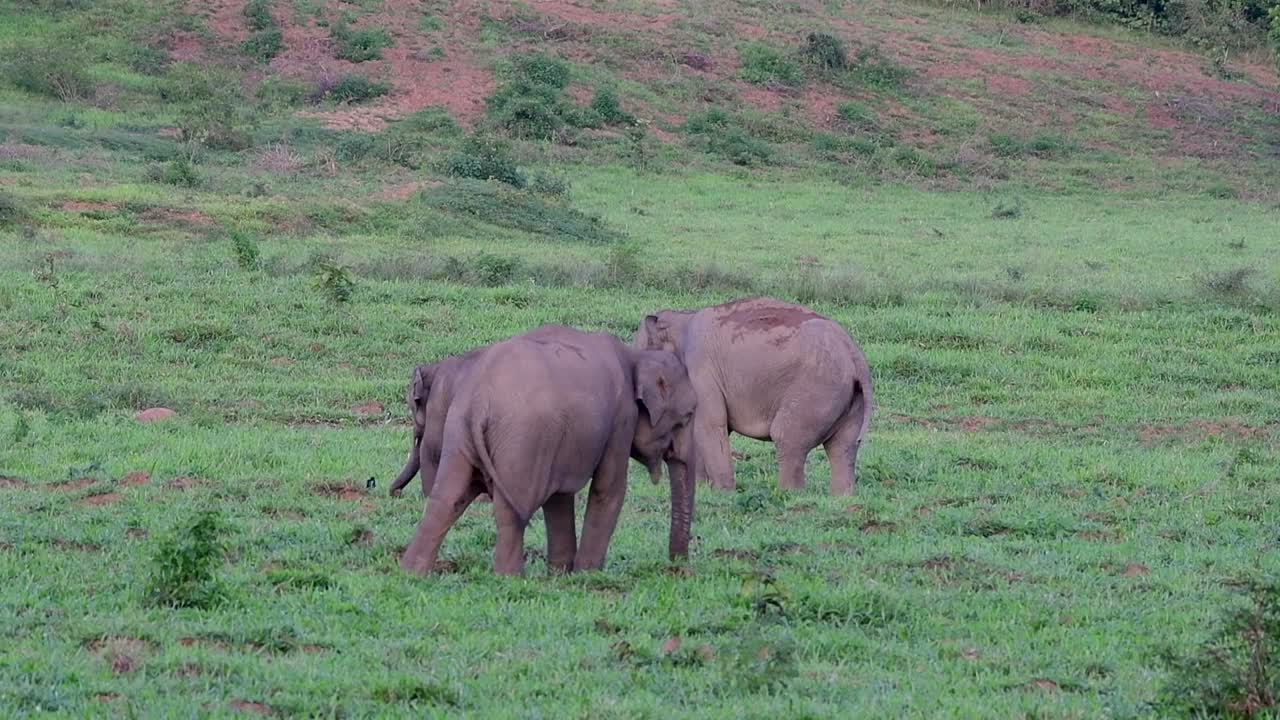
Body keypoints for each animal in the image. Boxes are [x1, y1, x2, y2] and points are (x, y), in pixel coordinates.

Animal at [399, 325, 698, 577]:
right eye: (687, 416)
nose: (679, 566)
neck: (636, 356)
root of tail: (480, 401)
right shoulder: (621, 419)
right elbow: (609, 489)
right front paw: (586, 574)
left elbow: (560, 497)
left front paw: (561, 573)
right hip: (522, 441)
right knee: (509, 512)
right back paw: (509, 578)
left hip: (462, 434)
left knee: (446, 498)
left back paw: (412, 572)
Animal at [633, 296, 873, 496]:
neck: (682, 319)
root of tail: (855, 358)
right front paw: (701, 489)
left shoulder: (701, 369)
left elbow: (709, 424)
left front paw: (723, 494)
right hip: (848, 399)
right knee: (842, 447)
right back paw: (841, 499)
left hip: (815, 390)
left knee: (786, 438)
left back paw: (788, 495)